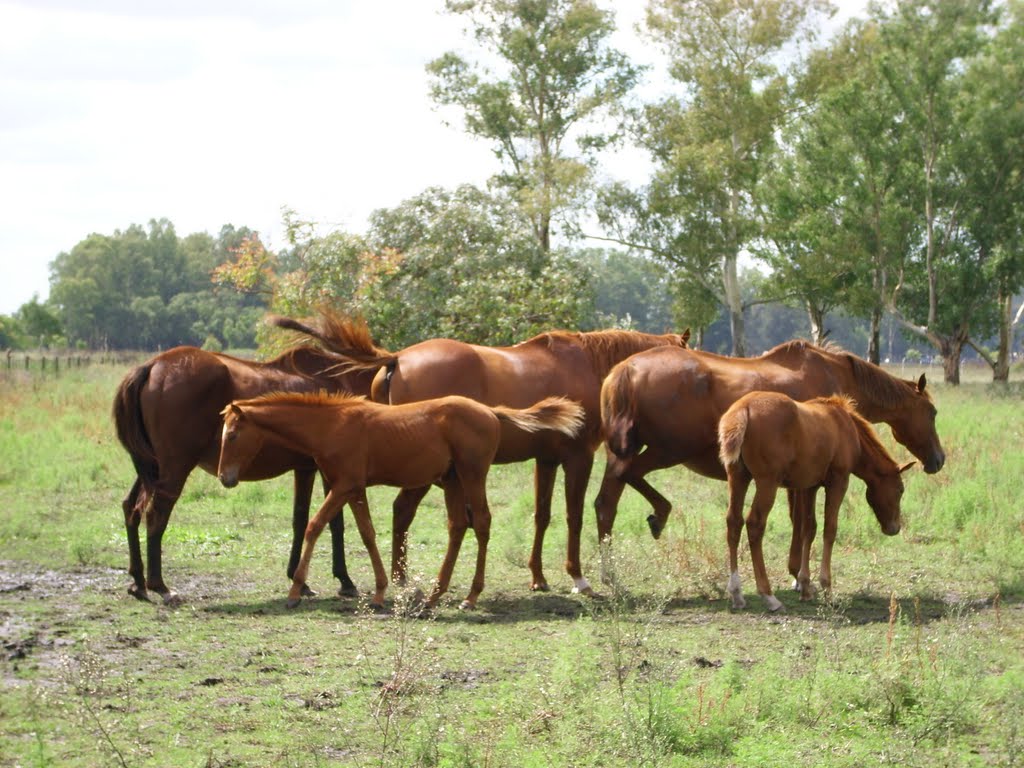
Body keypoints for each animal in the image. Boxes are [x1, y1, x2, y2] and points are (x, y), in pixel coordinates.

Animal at [112, 342, 376, 602]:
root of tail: (153, 365)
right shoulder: (329, 470)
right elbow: (335, 522)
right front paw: (345, 580)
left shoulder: (305, 468)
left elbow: (300, 519)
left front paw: (298, 580)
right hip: (174, 469)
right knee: (155, 515)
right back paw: (160, 586)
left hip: (152, 468)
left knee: (131, 508)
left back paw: (138, 582)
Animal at [216, 393, 585, 610]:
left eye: (232, 435)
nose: (224, 478)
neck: (332, 425)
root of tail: (490, 412)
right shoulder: (353, 489)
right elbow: (367, 533)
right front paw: (380, 591)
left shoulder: (343, 486)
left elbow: (314, 526)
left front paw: (295, 590)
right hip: (452, 480)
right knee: (457, 526)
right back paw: (435, 594)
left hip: (472, 474)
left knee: (480, 523)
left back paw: (470, 596)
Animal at [268, 313, 692, 593]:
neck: (588, 365)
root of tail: (397, 358)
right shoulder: (578, 458)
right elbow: (574, 516)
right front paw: (577, 576)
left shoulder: (546, 460)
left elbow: (542, 516)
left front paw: (538, 577)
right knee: (403, 510)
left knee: (401, 513)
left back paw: (402, 578)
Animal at [598, 339, 942, 585]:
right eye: (933, 412)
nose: (938, 459)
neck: (837, 375)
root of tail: (624, 371)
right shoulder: (805, 478)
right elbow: (805, 523)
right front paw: (799, 575)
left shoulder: (798, 477)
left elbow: (799, 521)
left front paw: (797, 573)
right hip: (664, 451)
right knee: (626, 480)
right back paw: (655, 519)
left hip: (626, 451)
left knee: (606, 502)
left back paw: (610, 569)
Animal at [716, 393, 917, 610]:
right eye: (900, 490)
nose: (894, 528)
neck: (845, 425)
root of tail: (743, 409)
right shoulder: (838, 481)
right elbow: (829, 529)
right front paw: (826, 588)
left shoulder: (808, 486)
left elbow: (808, 529)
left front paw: (805, 586)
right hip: (767, 482)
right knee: (754, 524)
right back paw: (769, 596)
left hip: (738, 477)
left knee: (734, 522)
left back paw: (737, 594)